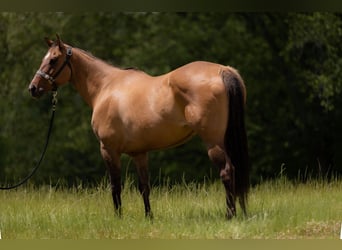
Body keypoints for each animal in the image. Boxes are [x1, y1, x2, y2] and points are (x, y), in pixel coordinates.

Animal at [28, 34, 248, 219]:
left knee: (227, 171)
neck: (106, 87)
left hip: (213, 141)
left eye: (53, 60)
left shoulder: (108, 149)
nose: (33, 88)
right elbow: (144, 186)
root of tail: (223, 70)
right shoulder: (139, 153)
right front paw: (149, 217)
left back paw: (230, 215)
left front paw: (118, 218)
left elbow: (115, 186)